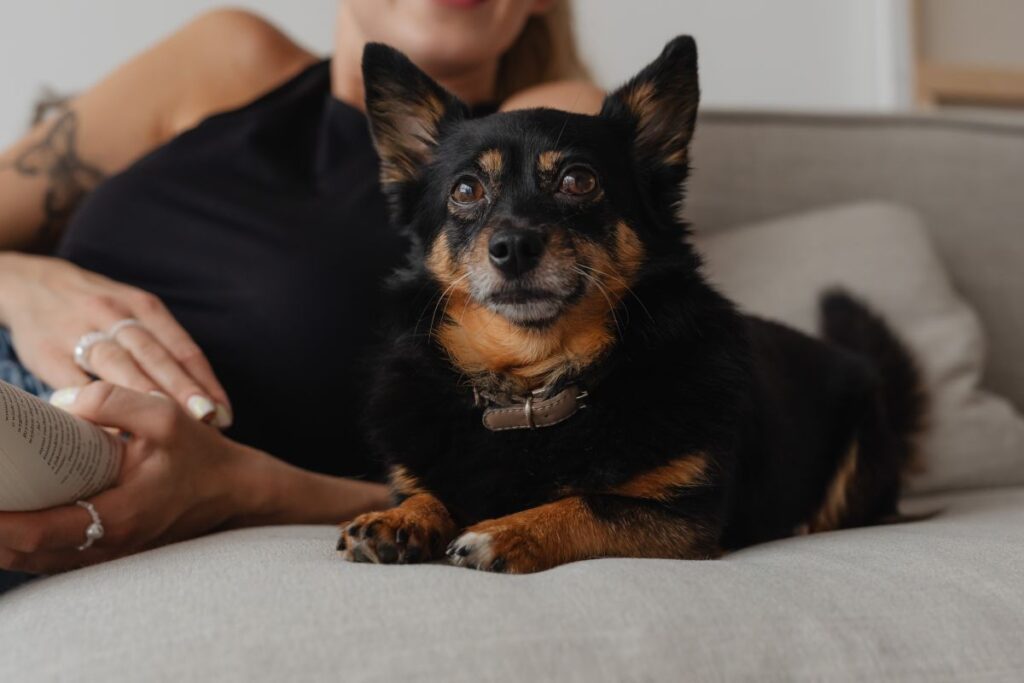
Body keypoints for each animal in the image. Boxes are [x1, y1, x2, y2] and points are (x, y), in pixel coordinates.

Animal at [337, 36, 929, 573]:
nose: (513, 247)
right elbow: (428, 491)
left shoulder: (684, 519)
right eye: (465, 191)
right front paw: (402, 518)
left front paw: (507, 531)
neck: (534, 384)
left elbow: (592, 503)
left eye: (579, 180)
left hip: (862, 446)